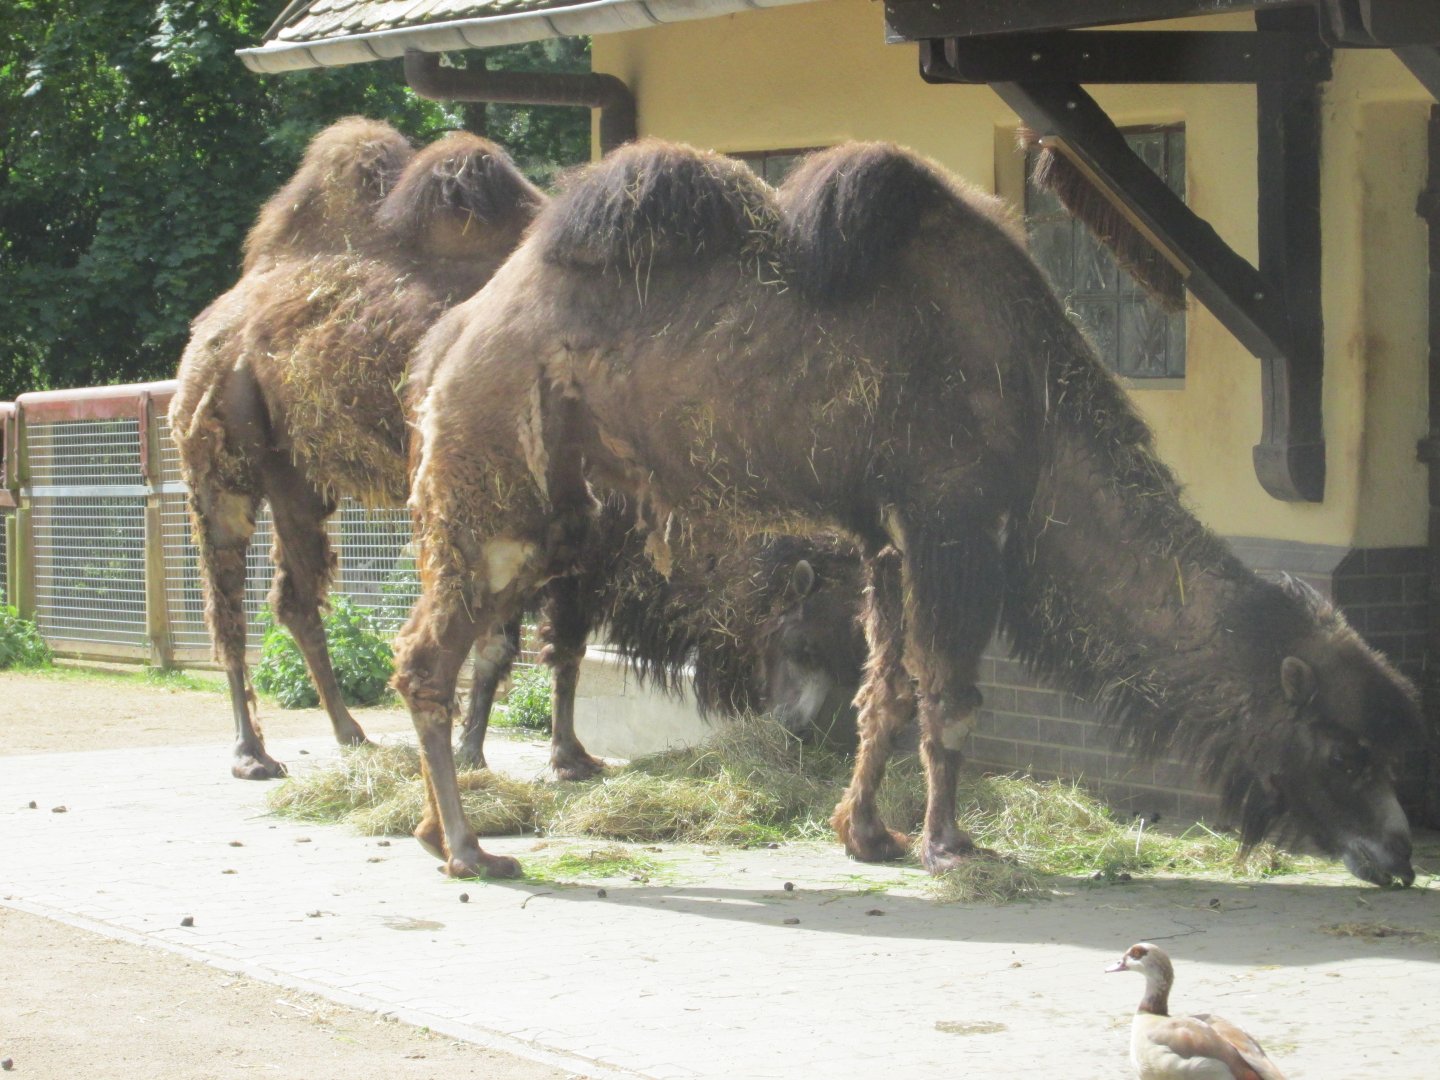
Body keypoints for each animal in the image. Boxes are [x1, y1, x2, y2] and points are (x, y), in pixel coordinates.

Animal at [394, 139, 1420, 887]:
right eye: (1347, 755)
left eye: (1383, 750)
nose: (1402, 856)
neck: (1039, 413)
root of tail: (448, 341)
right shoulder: (951, 523)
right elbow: (951, 700)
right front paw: (951, 846)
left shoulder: (887, 543)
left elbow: (880, 693)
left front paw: (867, 835)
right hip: (497, 487)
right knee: (427, 658)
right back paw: (470, 848)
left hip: (537, 508)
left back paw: (432, 831)